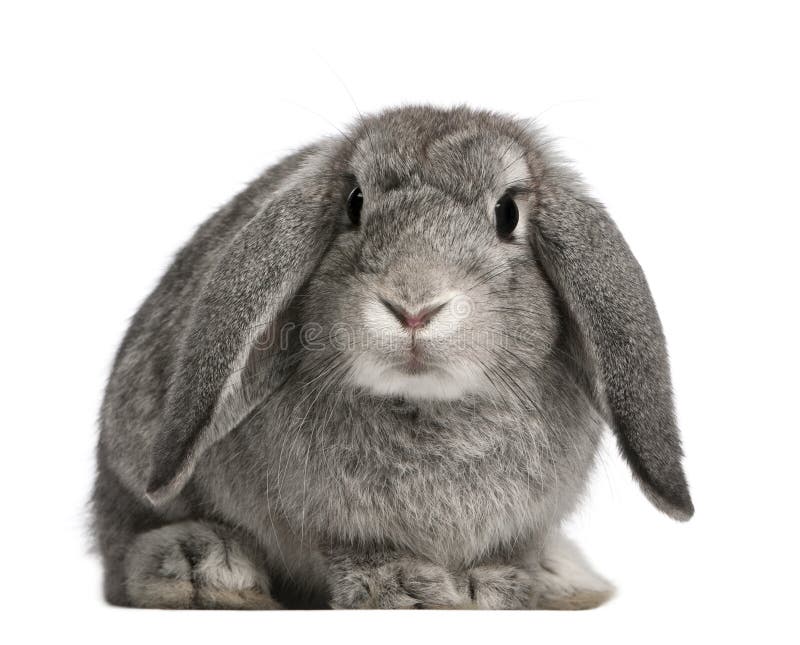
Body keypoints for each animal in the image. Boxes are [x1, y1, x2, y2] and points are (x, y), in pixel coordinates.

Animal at [90, 104, 692, 608]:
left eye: (508, 213)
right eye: (355, 203)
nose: (414, 306)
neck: (427, 405)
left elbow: (507, 554)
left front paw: (493, 586)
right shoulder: (335, 524)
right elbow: (358, 550)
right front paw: (407, 589)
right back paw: (204, 571)